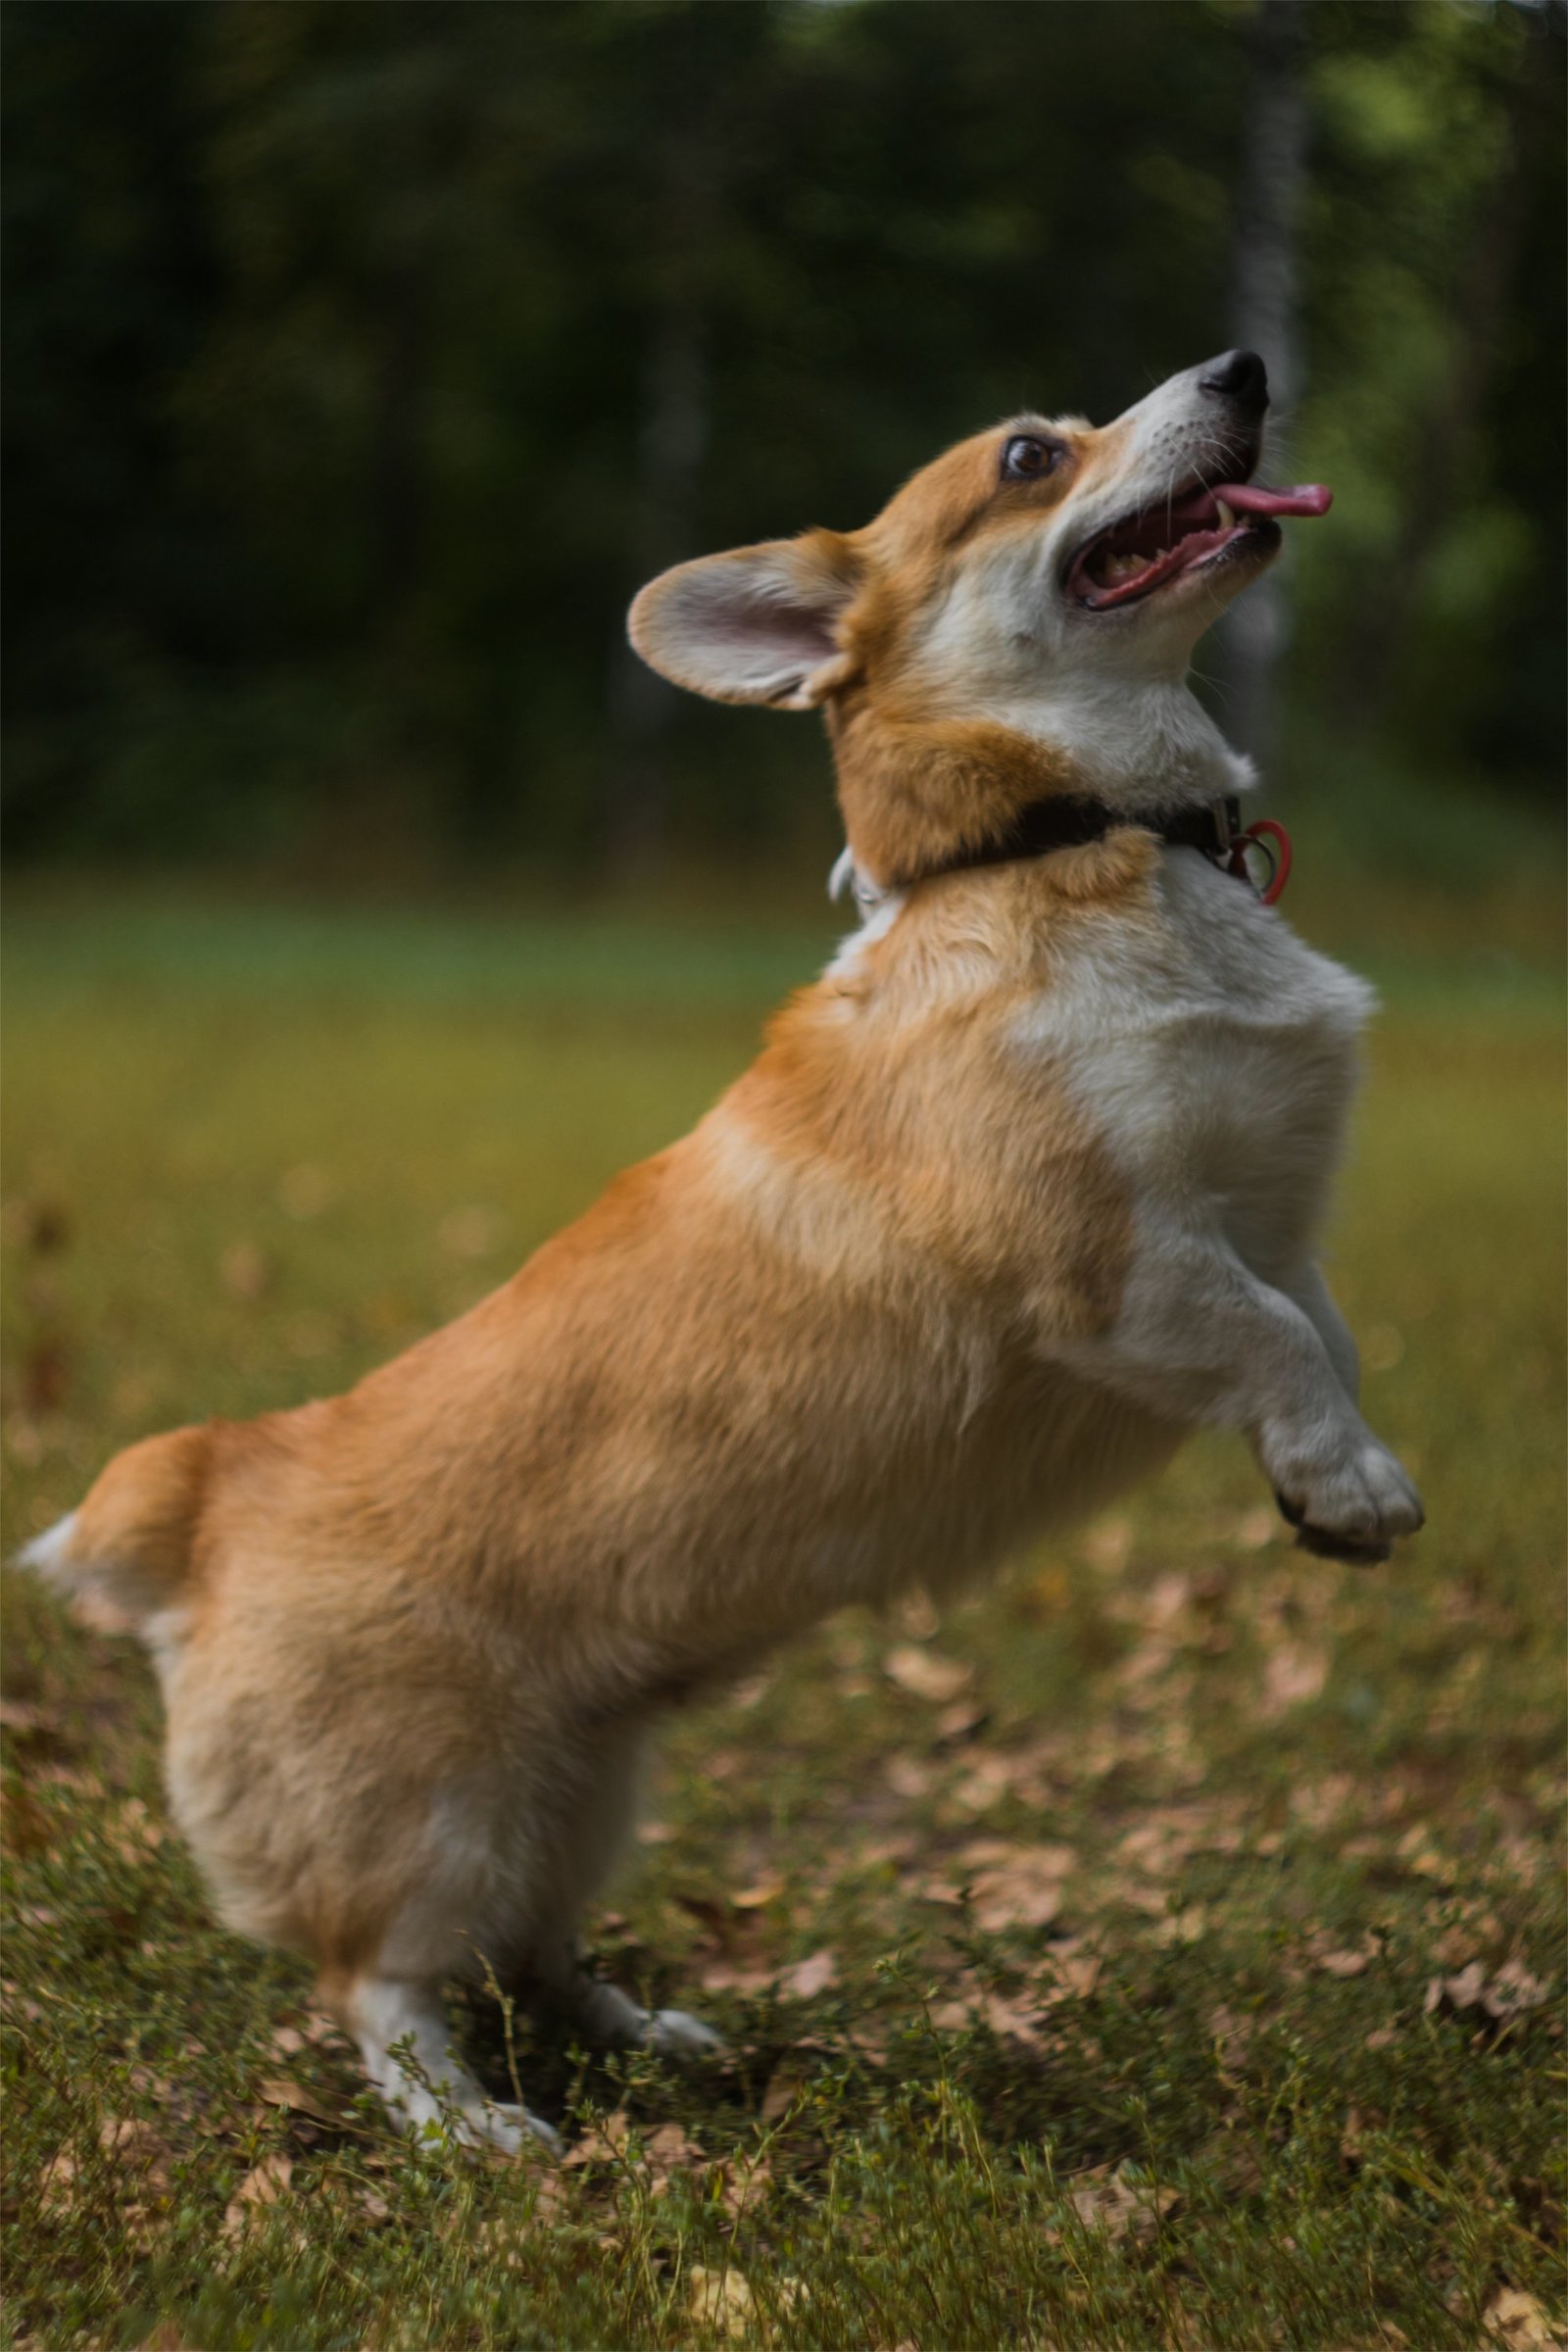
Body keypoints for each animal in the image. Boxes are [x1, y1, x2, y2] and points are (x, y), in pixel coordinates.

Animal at [21, 343, 1419, 2154]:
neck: (1068, 844)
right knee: (384, 1989)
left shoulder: (1266, 1222)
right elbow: (1268, 1338)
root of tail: (213, 1504)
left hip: (584, 1787)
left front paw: (1338, 1480)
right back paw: (477, 2131)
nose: (1245, 368)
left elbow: (1325, 1337)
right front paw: (1353, 1489)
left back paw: (650, 2034)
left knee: (530, 1950)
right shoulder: (1117, 1261)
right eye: (1030, 457)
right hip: (437, 1819)